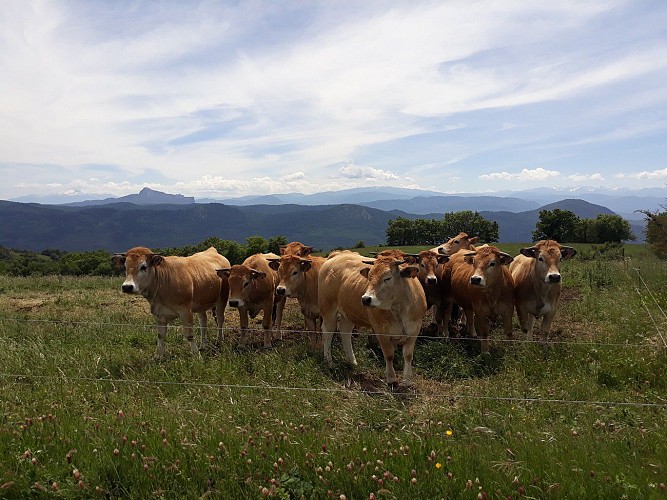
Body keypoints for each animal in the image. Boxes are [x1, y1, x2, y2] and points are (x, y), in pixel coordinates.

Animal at [320, 252, 428, 384]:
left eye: (388, 278)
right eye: (369, 277)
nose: (366, 299)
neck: (399, 309)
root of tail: (338, 254)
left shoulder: (414, 329)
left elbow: (408, 355)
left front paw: (407, 379)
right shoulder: (381, 331)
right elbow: (389, 355)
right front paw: (391, 378)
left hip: (349, 311)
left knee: (345, 330)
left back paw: (352, 361)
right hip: (328, 309)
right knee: (328, 332)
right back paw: (329, 362)